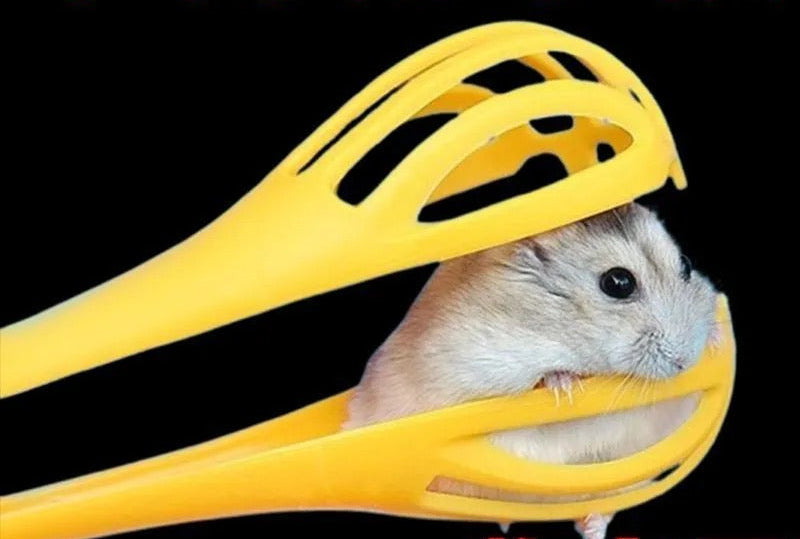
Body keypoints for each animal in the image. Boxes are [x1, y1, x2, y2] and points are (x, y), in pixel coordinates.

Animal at [343, 203, 720, 539]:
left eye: (686, 265)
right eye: (618, 282)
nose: (685, 360)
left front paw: (715, 341)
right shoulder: (468, 372)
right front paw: (564, 384)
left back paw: (592, 527)